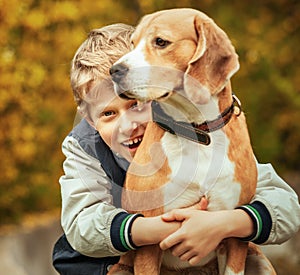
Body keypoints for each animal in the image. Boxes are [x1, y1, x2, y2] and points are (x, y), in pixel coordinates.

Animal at [109, 8, 276, 275]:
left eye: (161, 42)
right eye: (133, 43)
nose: (114, 71)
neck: (197, 132)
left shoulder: (235, 235)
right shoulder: (147, 241)